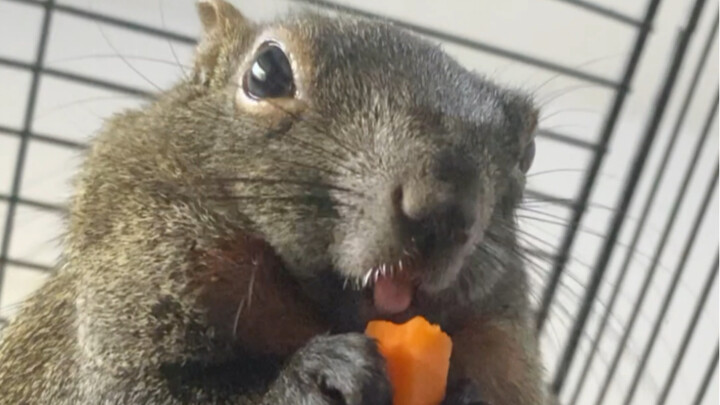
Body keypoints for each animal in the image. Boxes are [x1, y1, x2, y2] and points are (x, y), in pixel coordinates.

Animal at [0, 1, 550, 404]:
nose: (444, 211)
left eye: (528, 152)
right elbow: (145, 390)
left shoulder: (500, 349)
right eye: (267, 71)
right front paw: (312, 378)